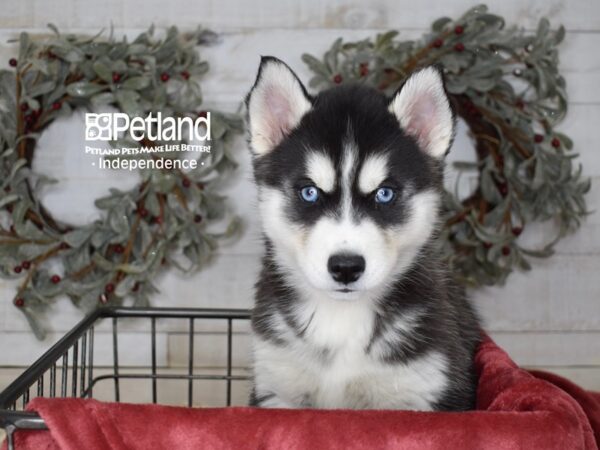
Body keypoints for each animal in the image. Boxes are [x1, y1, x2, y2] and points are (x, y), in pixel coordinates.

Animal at [243, 56, 478, 412]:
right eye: (309, 192)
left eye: (385, 194)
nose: (346, 267)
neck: (341, 319)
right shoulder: (278, 386)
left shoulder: (422, 391)